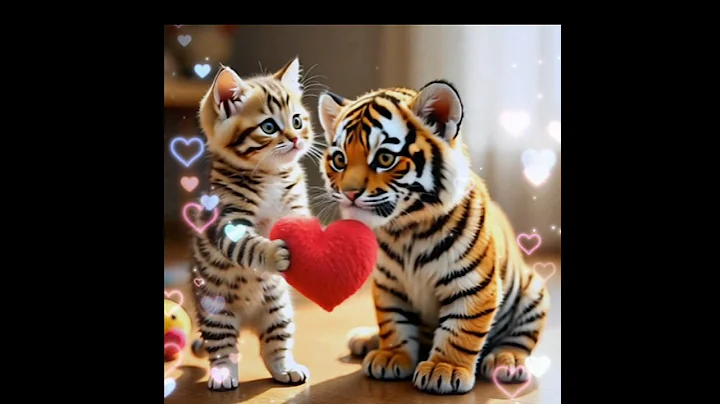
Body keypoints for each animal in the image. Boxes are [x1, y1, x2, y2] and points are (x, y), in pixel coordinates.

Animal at [187, 57, 314, 391]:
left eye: (297, 121)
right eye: (269, 127)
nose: (295, 139)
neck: (269, 174)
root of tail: (245, 321)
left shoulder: (295, 204)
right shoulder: (226, 220)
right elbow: (248, 244)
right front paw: (273, 253)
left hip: (278, 310)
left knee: (274, 346)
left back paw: (286, 368)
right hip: (216, 310)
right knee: (223, 349)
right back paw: (222, 376)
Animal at [316, 81, 550, 395]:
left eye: (385, 158)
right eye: (339, 160)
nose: (349, 193)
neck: (404, 229)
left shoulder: (473, 285)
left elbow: (460, 330)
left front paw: (445, 369)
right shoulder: (388, 284)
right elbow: (393, 321)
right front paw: (391, 356)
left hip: (532, 291)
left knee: (519, 339)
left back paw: (507, 360)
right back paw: (366, 339)